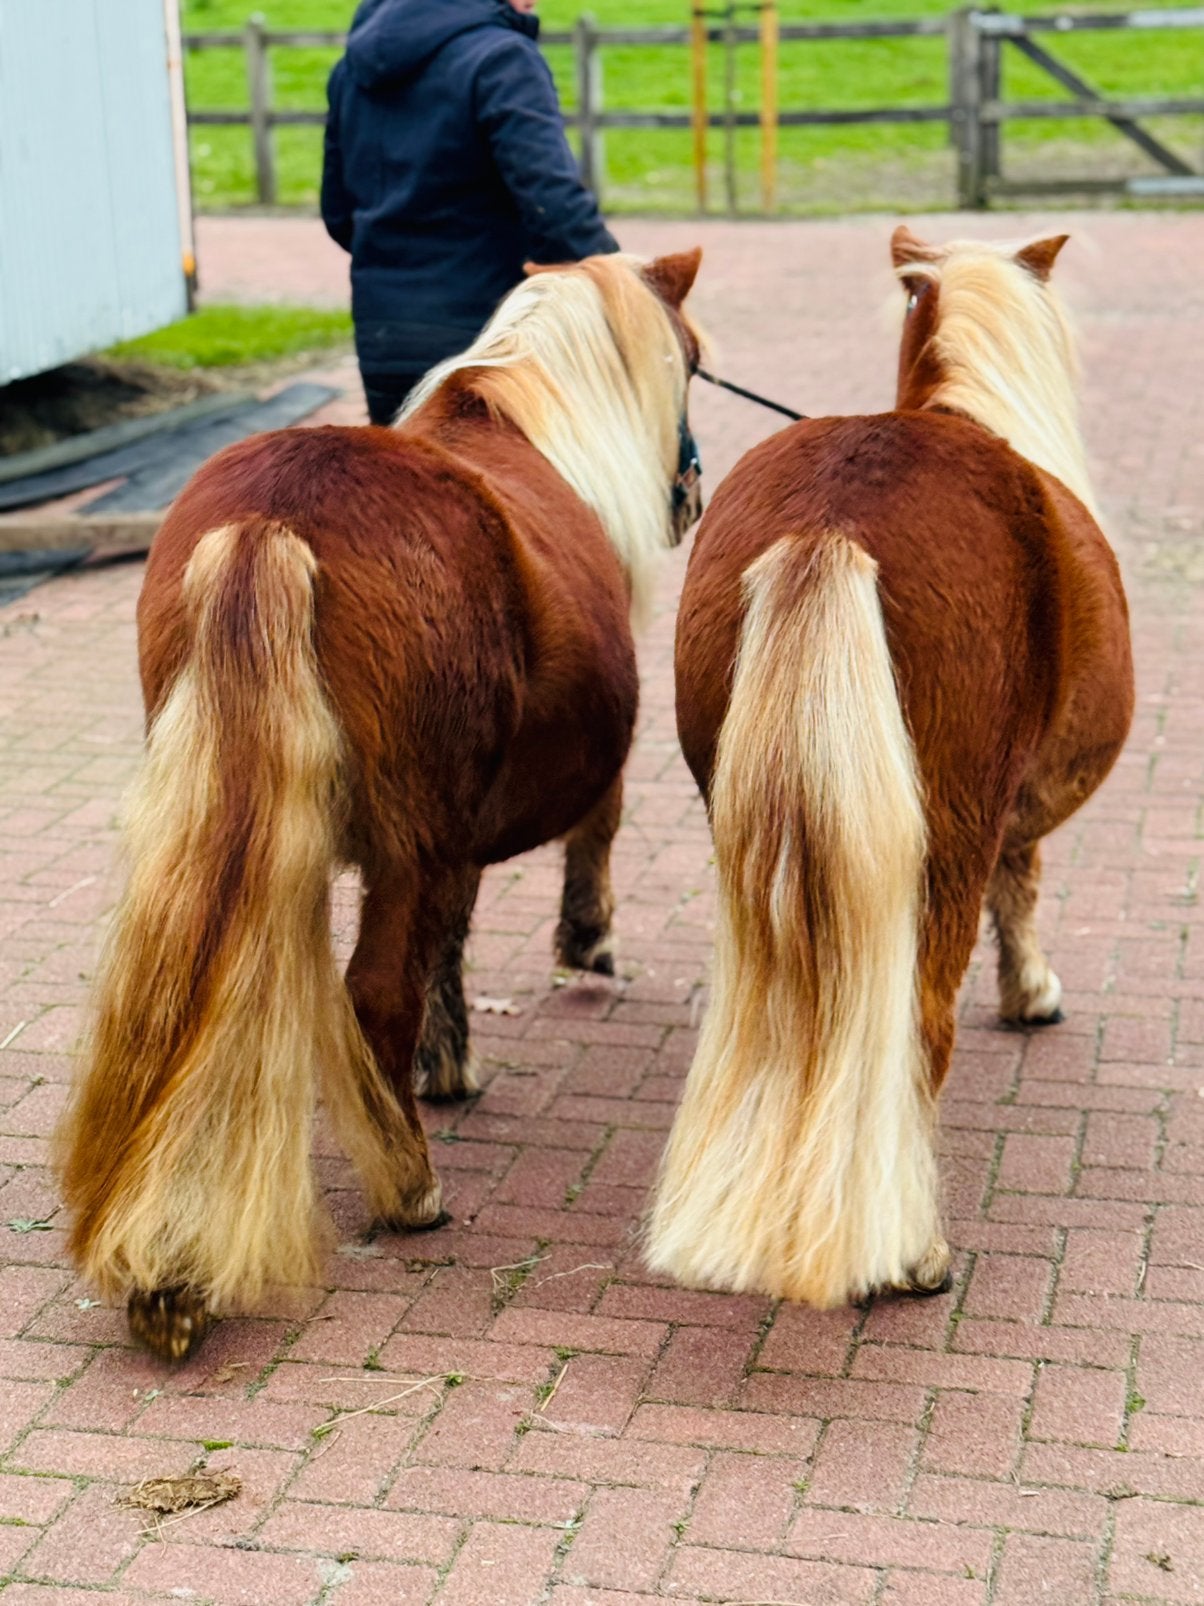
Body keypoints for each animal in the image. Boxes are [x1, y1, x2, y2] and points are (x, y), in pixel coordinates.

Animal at [55, 248, 704, 1361]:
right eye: (694, 360)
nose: (693, 493)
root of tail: (272, 518)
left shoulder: (454, 834)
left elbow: (453, 939)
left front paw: (449, 1063)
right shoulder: (474, 824)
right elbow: (583, 837)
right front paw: (581, 945)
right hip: (411, 838)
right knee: (373, 991)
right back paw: (409, 1188)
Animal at [649, 228, 1133, 1310]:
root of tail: (834, 517)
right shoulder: (1007, 817)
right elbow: (1021, 886)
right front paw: (1031, 991)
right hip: (943, 843)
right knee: (921, 1024)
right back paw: (916, 1252)